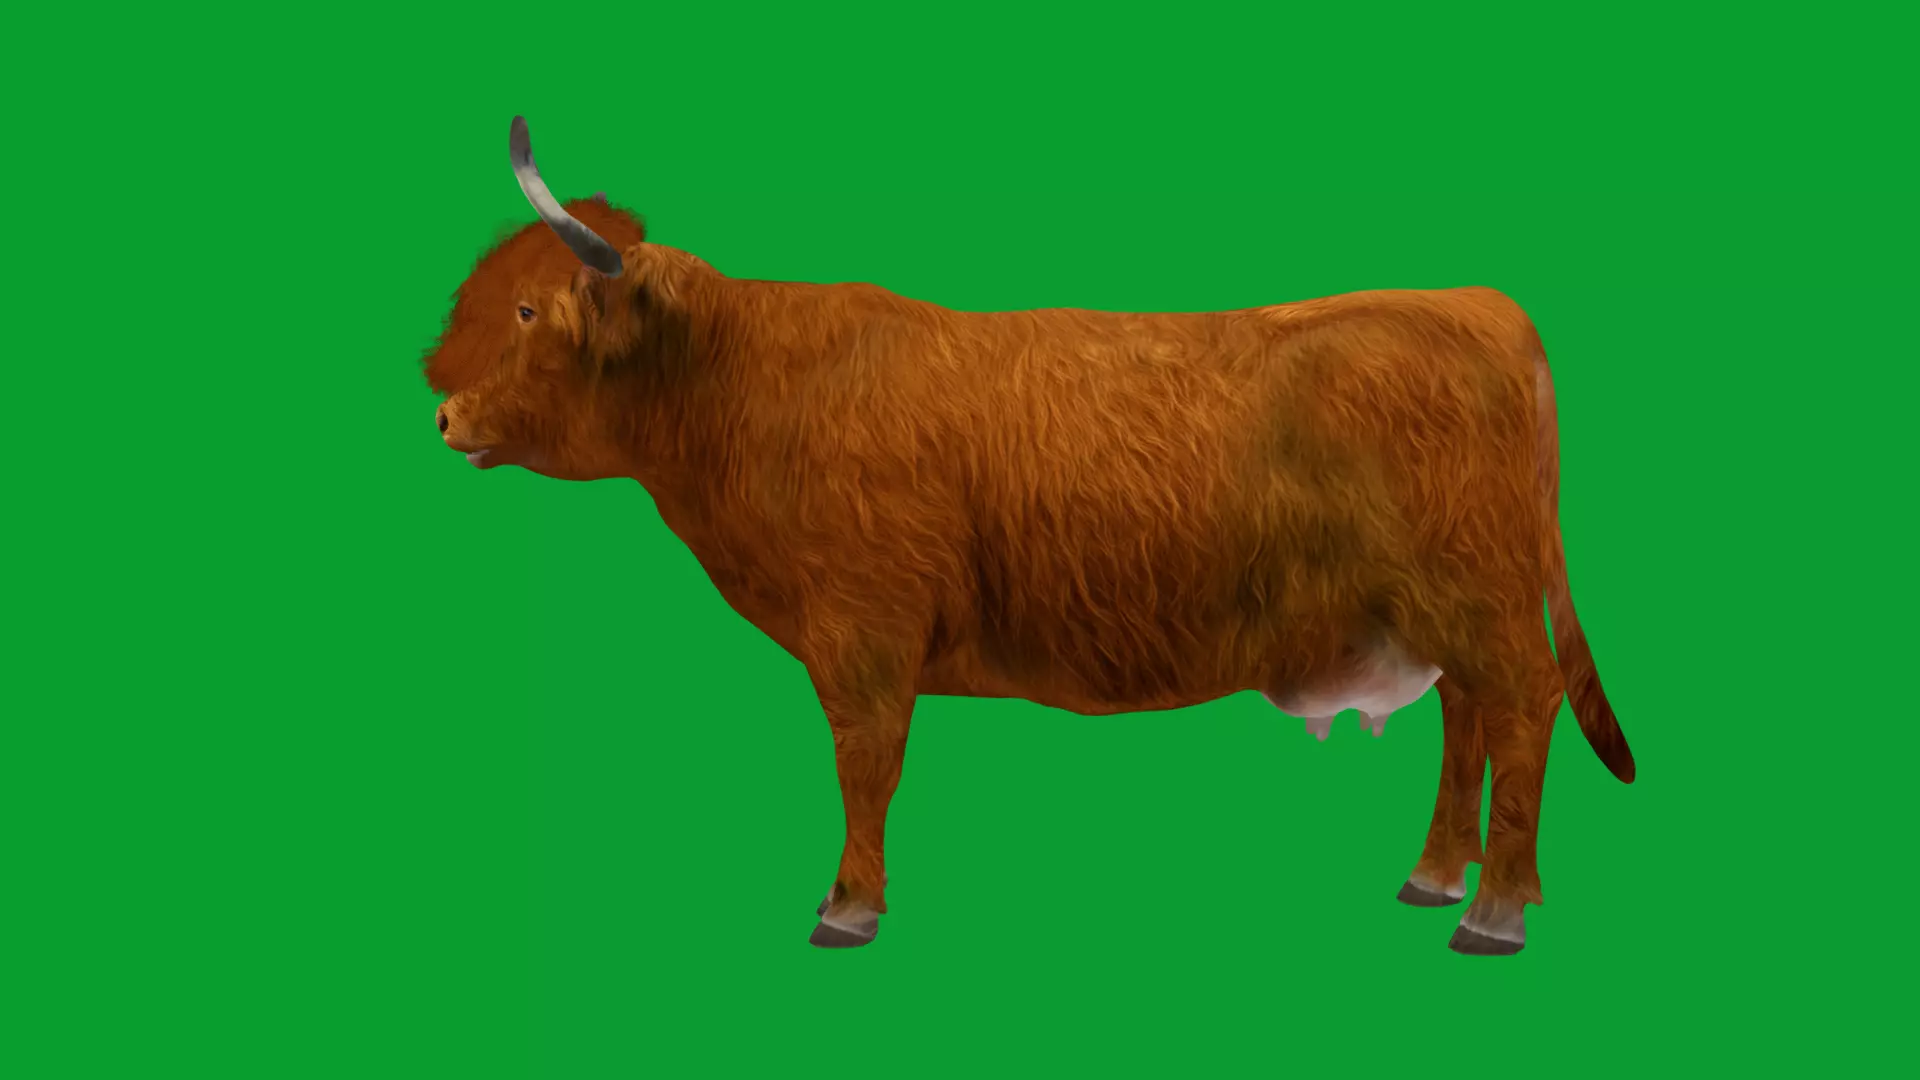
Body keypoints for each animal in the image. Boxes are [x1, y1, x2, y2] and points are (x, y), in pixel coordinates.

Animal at [424, 116, 1636, 957]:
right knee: (1470, 722)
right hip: (1441, 613)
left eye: (527, 310)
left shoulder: (865, 630)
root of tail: (1468, 300)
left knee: (1520, 713)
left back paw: (1493, 910)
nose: (438, 414)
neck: (748, 388)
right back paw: (1435, 876)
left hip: (1476, 600)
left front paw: (848, 904)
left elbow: (865, 761)